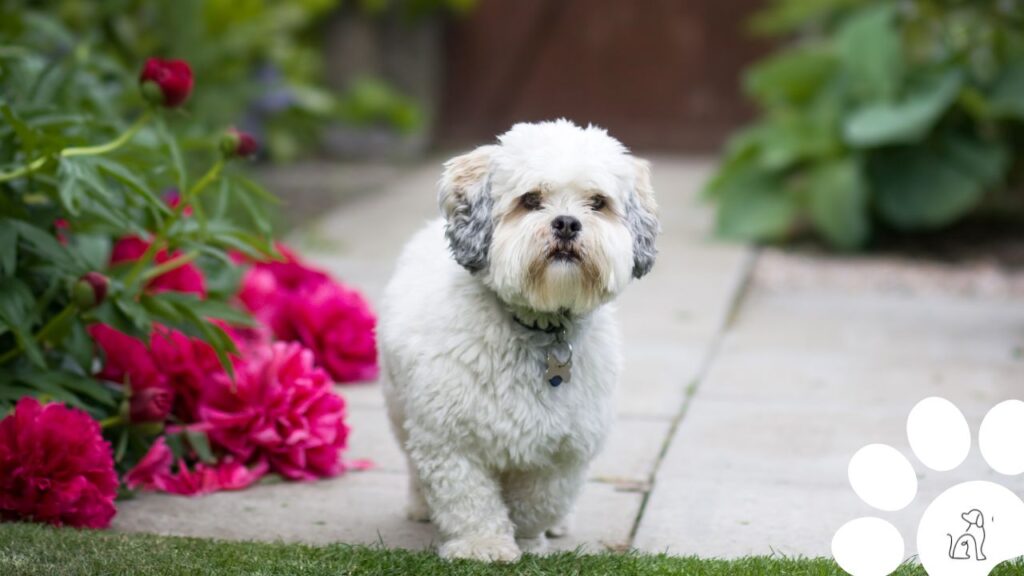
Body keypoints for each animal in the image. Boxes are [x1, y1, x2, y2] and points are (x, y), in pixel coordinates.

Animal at [380, 118, 659, 557]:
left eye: (597, 203)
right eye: (530, 200)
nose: (566, 222)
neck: (538, 326)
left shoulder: (565, 450)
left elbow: (536, 501)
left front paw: (527, 537)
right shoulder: (448, 439)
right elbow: (469, 498)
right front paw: (484, 544)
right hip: (398, 407)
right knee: (411, 463)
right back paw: (420, 507)